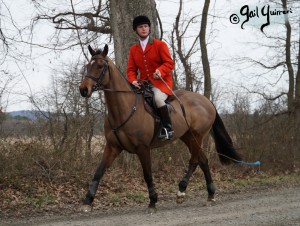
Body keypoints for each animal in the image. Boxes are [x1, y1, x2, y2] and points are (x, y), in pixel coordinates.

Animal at [78, 43, 241, 212]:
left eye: (100, 66)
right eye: (87, 66)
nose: (83, 89)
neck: (125, 109)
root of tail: (206, 101)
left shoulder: (143, 148)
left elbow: (147, 174)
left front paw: (153, 201)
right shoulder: (112, 147)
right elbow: (99, 171)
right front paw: (87, 201)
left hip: (197, 136)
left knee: (195, 160)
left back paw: (181, 190)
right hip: (188, 137)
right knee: (202, 160)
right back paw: (210, 194)